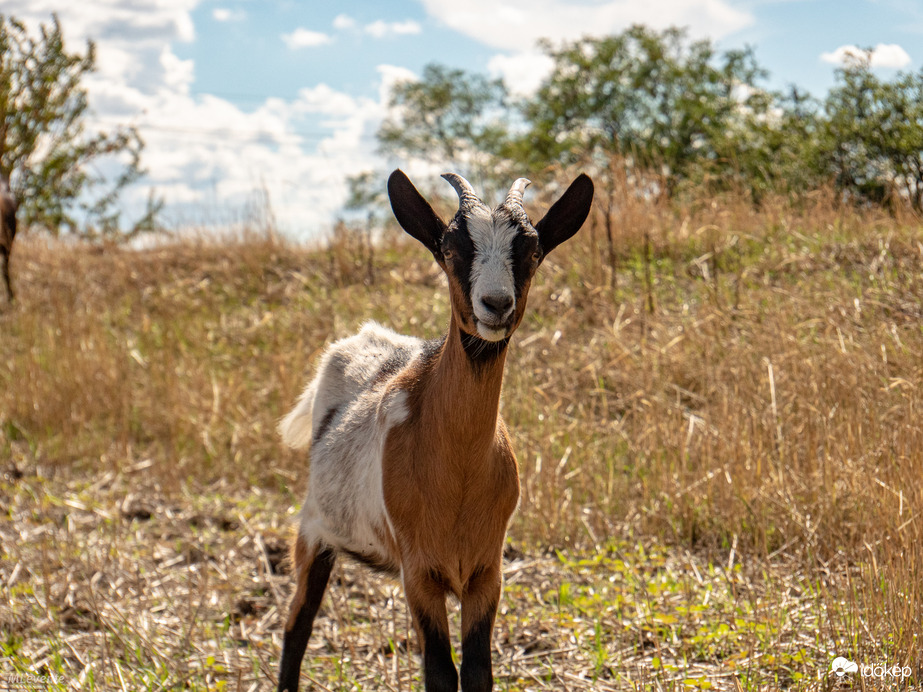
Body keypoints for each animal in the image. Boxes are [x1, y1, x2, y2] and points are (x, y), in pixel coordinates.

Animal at [276, 169, 592, 692]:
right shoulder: (420, 574)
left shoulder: (486, 572)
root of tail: (363, 338)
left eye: (531, 251)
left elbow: (478, 671)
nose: (495, 304)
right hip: (314, 530)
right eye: (450, 249)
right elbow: (441, 673)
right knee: (296, 626)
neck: (457, 476)